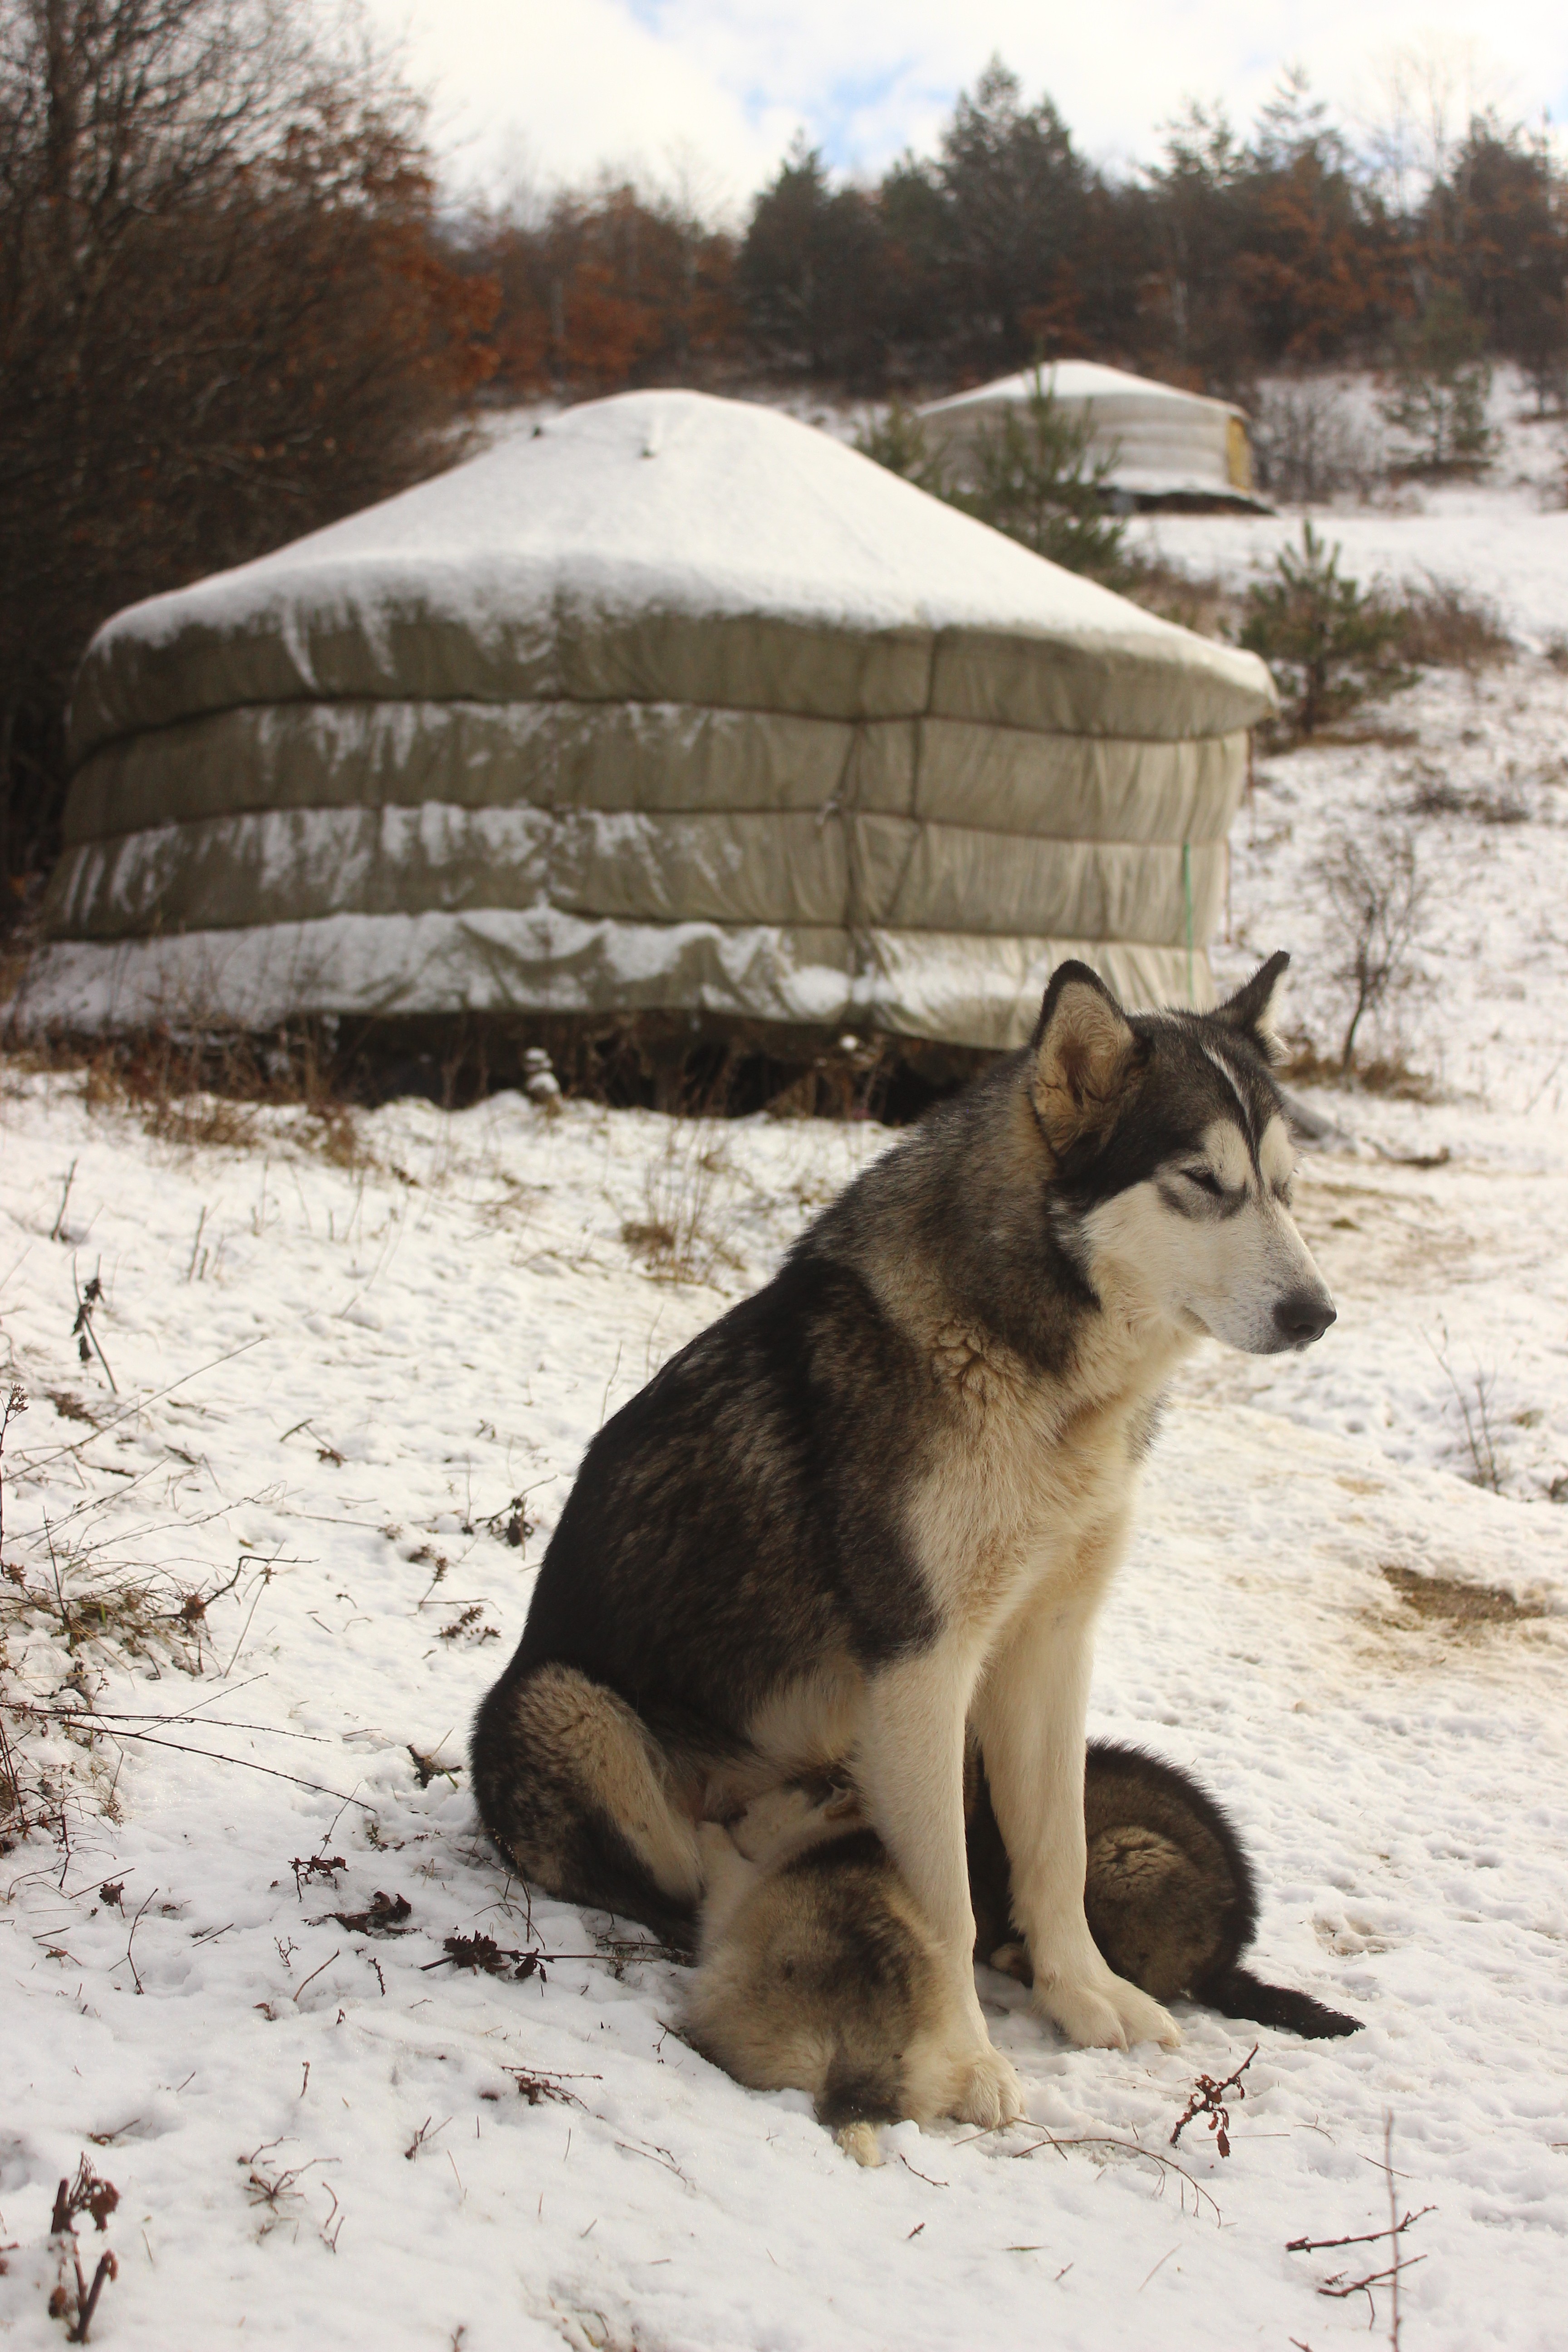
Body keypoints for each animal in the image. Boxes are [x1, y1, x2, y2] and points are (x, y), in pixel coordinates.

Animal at [471, 952, 1335, 2127]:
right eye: (1201, 1181)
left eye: (1284, 1185)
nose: (1315, 1313)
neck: (1043, 1381)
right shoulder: (922, 1662)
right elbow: (946, 1905)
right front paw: (967, 2054)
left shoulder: (1047, 1646)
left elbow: (1056, 1853)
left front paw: (1084, 1995)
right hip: (563, 1700)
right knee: (686, 1877)